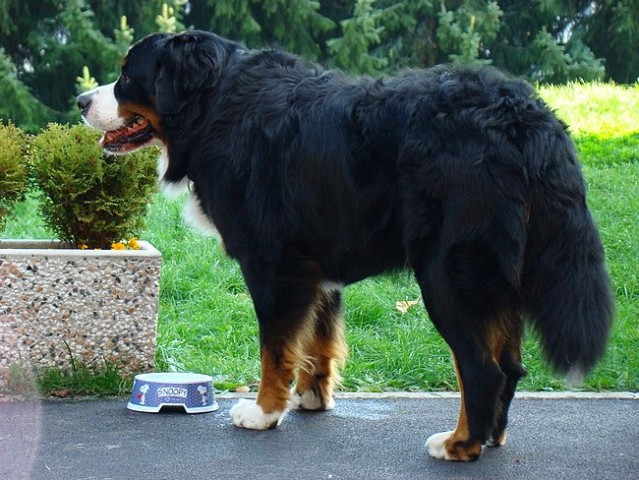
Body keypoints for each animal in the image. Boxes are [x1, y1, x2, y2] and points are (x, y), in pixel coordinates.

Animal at [80, 30, 616, 462]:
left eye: (127, 75)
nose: (82, 99)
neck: (215, 106)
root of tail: (524, 115)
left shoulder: (274, 264)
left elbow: (274, 348)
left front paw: (264, 412)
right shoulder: (315, 264)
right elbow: (316, 337)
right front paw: (311, 396)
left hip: (448, 273)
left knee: (483, 369)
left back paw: (459, 445)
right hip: (496, 276)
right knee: (509, 365)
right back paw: (490, 436)